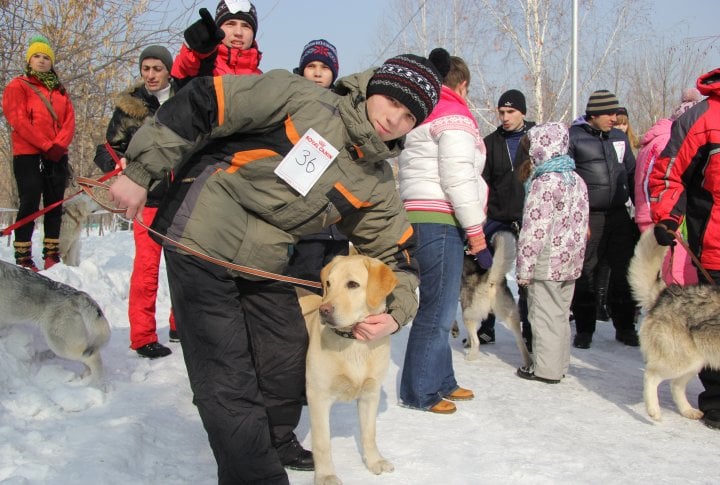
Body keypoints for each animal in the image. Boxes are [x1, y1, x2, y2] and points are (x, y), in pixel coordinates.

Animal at [296, 253, 400, 484]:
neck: (353, 342)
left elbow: (369, 433)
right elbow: (322, 443)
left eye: (352, 284)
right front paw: (326, 475)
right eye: (328, 283)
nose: (324, 310)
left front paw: (374, 461)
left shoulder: (370, 394)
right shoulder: (318, 396)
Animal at [458, 233, 532, 364]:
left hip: (467, 314)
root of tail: (490, 280)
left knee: (476, 341)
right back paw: (528, 362)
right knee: (520, 341)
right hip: (510, 315)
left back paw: (470, 357)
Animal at [628, 228, 720, 420]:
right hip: (682, 361)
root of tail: (666, 293)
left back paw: (688, 411)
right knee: (651, 375)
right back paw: (654, 411)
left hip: (694, 363)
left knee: (675, 386)